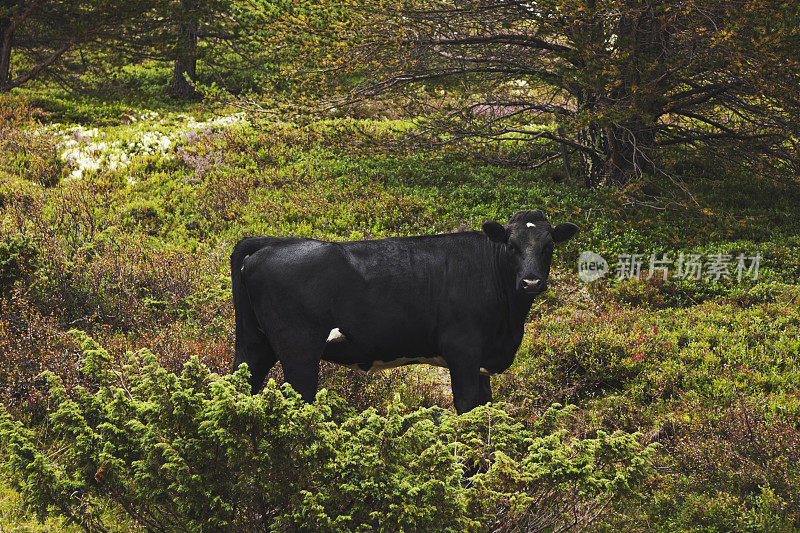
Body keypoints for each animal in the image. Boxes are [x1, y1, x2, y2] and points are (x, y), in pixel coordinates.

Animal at [230, 210, 576, 414]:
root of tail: (273, 243)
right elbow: (466, 409)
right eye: (512, 246)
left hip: (253, 344)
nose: (531, 282)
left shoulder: (482, 364)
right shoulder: (463, 352)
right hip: (298, 348)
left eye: (548, 247)